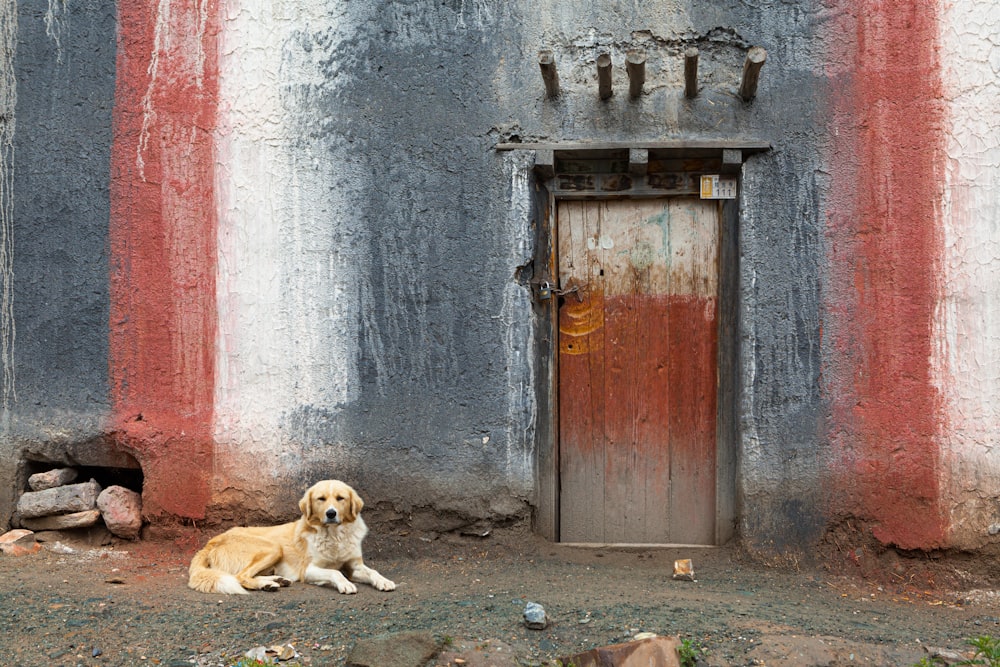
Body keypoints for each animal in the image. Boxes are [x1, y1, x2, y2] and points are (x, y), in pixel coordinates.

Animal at [188, 480, 394, 596]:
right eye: (321, 499)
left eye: (340, 498)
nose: (331, 513)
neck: (335, 536)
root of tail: (211, 542)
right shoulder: (309, 570)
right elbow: (335, 573)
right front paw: (345, 584)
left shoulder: (354, 566)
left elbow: (372, 571)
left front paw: (384, 581)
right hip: (273, 547)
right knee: (241, 577)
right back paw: (268, 584)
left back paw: (275, 581)